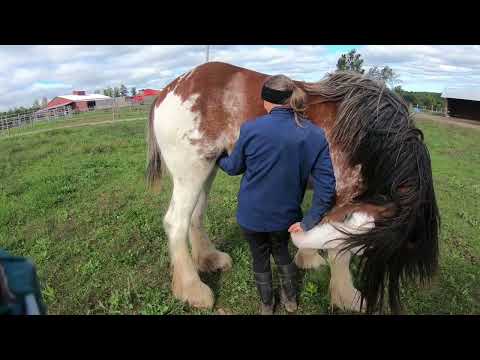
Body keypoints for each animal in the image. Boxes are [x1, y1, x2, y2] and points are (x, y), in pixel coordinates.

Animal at [145, 62, 438, 316]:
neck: (366, 136)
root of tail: (168, 91)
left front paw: (307, 257)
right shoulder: (343, 195)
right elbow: (339, 249)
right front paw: (349, 298)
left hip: (207, 169)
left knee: (196, 215)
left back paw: (209, 260)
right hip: (192, 171)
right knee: (176, 222)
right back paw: (193, 291)